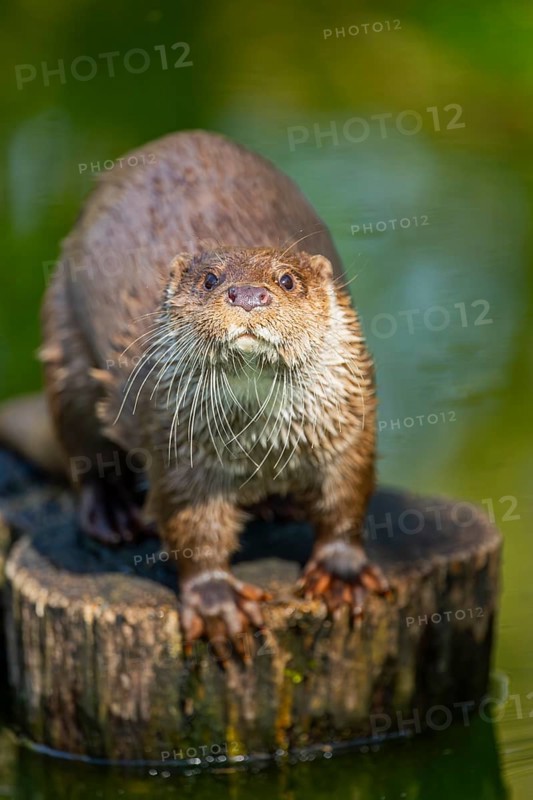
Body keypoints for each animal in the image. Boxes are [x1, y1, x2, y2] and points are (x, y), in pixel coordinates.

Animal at [40, 130, 388, 650]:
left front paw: (342, 574)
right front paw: (217, 603)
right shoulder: (175, 443)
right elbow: (192, 528)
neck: (262, 443)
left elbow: (346, 498)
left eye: (286, 279)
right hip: (64, 333)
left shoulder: (349, 424)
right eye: (210, 279)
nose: (248, 295)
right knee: (83, 446)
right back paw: (113, 512)